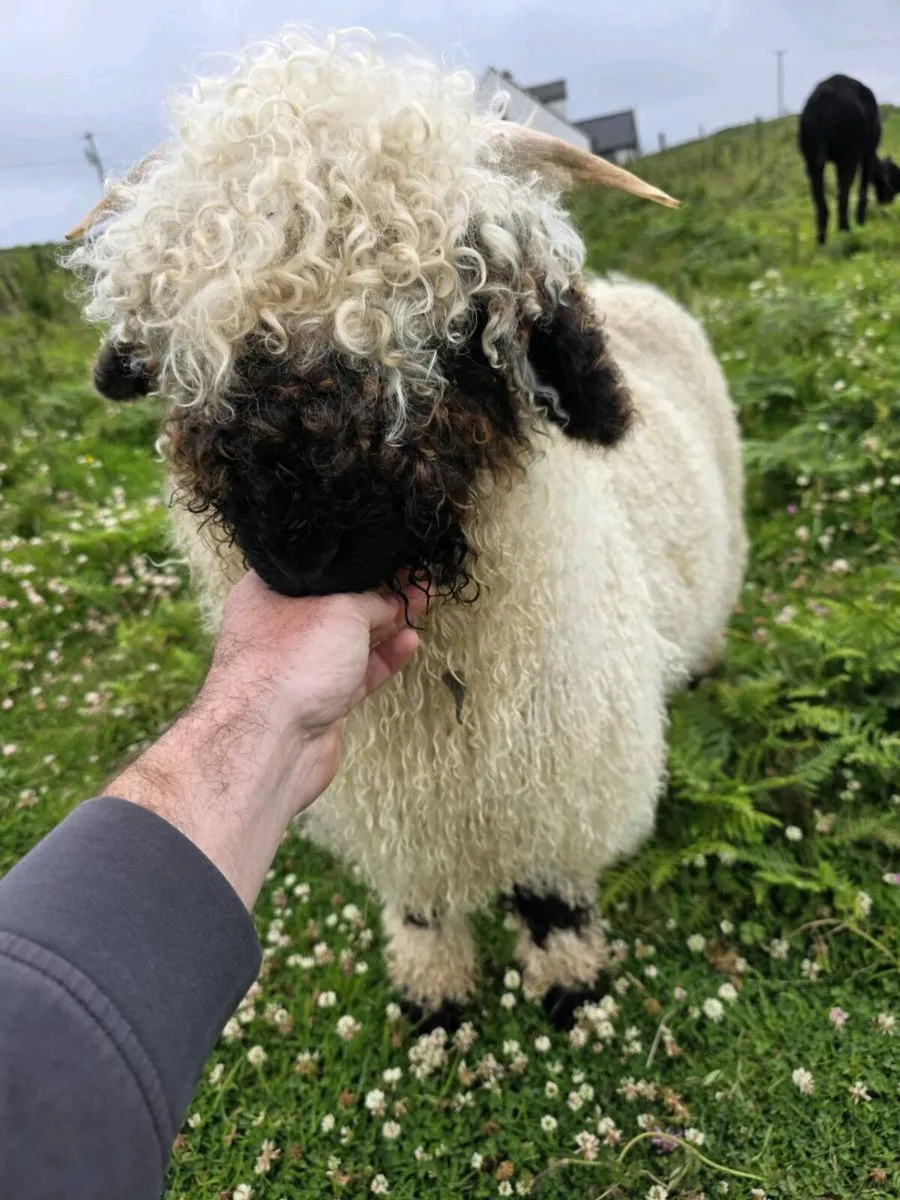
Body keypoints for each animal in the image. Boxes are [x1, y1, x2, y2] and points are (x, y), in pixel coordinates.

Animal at [64, 28, 747, 1027]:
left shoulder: (563, 780)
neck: (439, 702)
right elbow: (421, 898)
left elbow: (549, 890)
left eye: (461, 327)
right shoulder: (391, 805)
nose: (303, 551)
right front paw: (433, 990)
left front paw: (568, 980)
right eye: (188, 350)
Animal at [798, 73, 900, 245]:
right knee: (843, 195)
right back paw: (845, 231)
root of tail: (822, 104)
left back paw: (821, 241)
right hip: (848, 155)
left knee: (820, 200)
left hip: (811, 157)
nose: (888, 202)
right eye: (893, 181)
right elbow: (864, 187)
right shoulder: (868, 152)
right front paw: (861, 224)